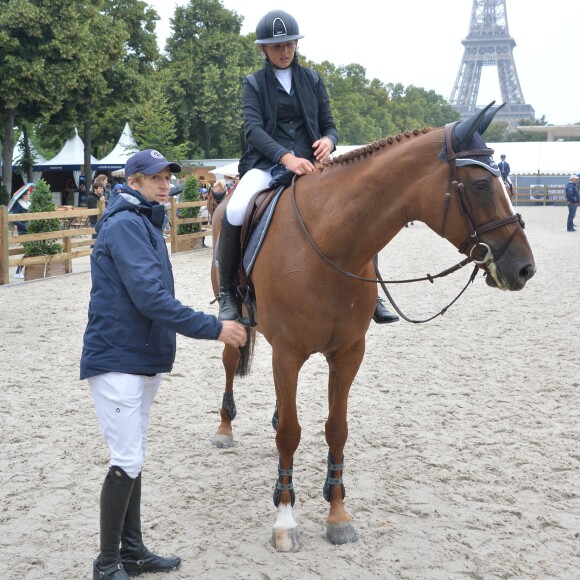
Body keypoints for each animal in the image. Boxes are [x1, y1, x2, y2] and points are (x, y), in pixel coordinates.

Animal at [208, 102, 536, 552]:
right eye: (483, 185)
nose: (524, 268)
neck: (330, 242)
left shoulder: (348, 352)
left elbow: (336, 429)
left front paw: (337, 514)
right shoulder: (289, 352)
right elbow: (291, 434)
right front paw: (285, 519)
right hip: (237, 323)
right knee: (229, 364)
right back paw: (225, 428)